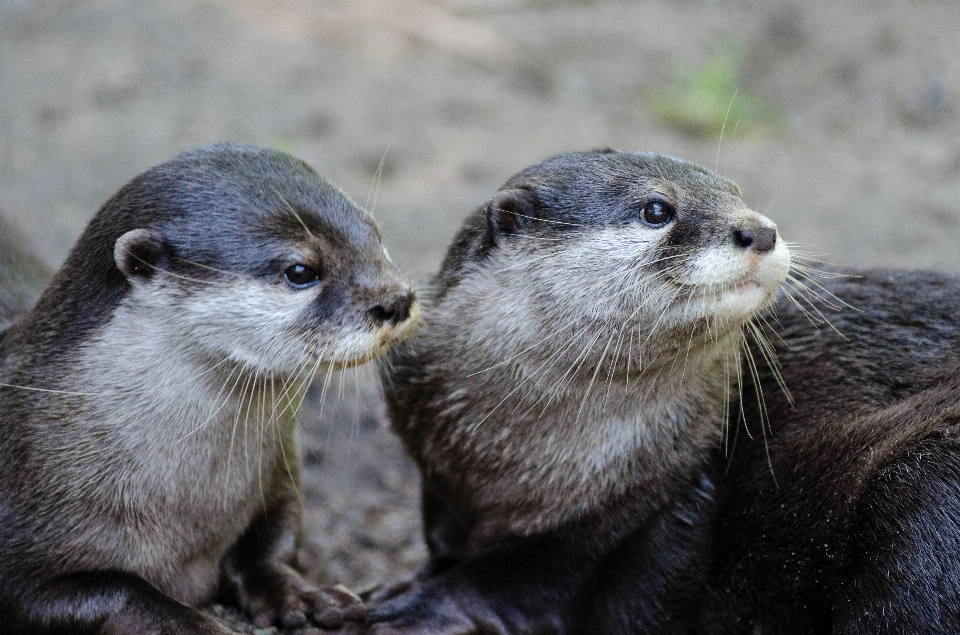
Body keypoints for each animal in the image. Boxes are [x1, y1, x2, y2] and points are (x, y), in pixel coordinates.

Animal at [1, 144, 418, 635]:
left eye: (376, 235)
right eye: (300, 271)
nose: (397, 300)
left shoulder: (280, 468)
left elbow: (273, 542)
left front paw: (300, 592)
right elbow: (116, 587)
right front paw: (193, 622)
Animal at [372, 150, 960, 635]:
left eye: (736, 191)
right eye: (657, 209)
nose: (761, 230)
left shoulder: (622, 524)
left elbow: (511, 582)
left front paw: (394, 608)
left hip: (925, 495)